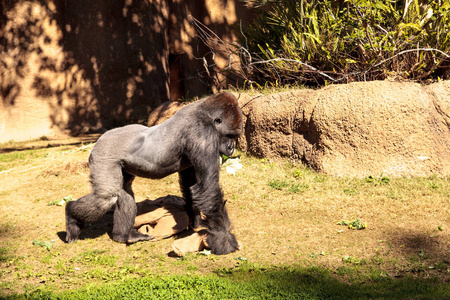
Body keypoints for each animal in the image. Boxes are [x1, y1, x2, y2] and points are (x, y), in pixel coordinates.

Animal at [64, 92, 243, 255]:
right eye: (230, 135)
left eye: (235, 137)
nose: (231, 148)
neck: (205, 113)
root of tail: (99, 140)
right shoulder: (203, 134)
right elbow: (208, 189)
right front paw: (223, 240)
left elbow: (192, 183)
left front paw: (195, 220)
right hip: (103, 153)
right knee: (106, 197)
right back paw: (71, 217)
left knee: (123, 191)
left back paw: (124, 236)